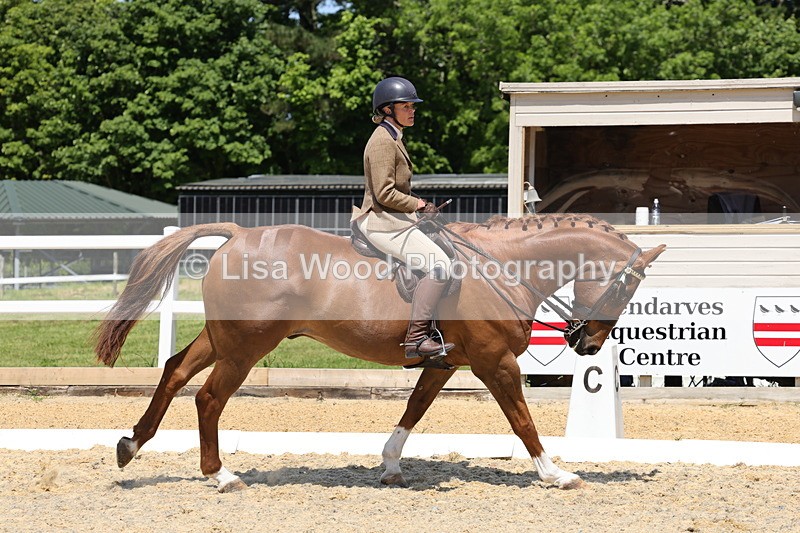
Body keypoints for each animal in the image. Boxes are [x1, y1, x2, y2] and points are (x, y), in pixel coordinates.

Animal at [95, 214, 666, 492]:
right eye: (625, 288)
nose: (588, 343)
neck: (502, 266)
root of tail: (238, 233)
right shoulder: (494, 363)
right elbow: (522, 421)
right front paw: (557, 474)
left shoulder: (445, 361)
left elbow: (415, 408)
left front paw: (390, 466)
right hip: (246, 347)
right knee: (209, 399)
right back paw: (221, 475)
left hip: (226, 339)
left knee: (174, 372)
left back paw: (131, 445)